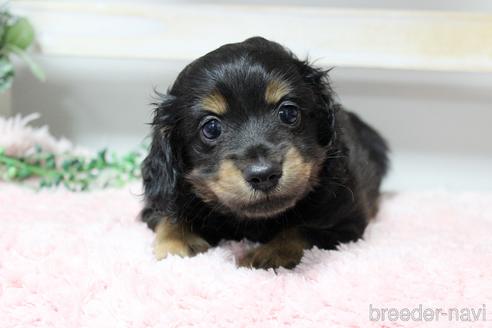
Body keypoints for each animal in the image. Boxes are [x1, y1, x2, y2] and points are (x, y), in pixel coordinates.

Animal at [139, 37, 388, 270]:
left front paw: (271, 253)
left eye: (288, 113)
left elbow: (303, 229)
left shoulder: (346, 223)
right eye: (211, 128)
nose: (264, 175)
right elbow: (168, 218)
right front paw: (176, 244)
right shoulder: (157, 206)